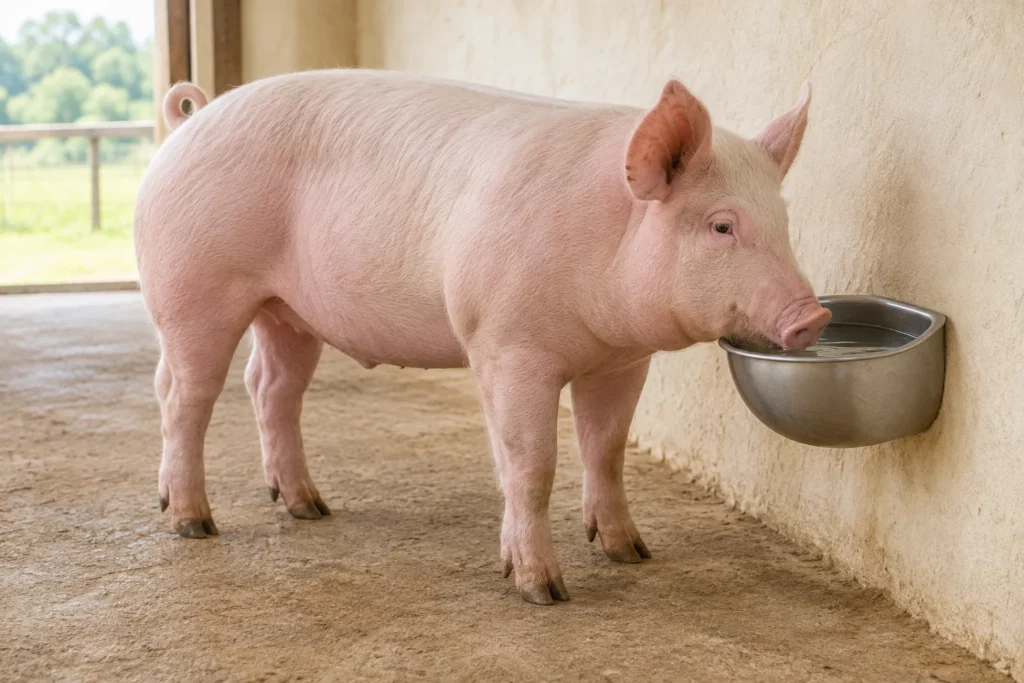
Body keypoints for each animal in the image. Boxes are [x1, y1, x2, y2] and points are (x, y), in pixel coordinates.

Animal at [135, 70, 829, 605]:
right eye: (722, 226)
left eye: (784, 220)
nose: (812, 318)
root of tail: (189, 122)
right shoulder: (506, 345)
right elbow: (532, 464)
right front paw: (543, 591)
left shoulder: (622, 361)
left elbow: (605, 449)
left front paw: (632, 553)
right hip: (192, 288)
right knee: (181, 395)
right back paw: (193, 523)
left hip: (287, 311)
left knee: (270, 386)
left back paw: (308, 507)